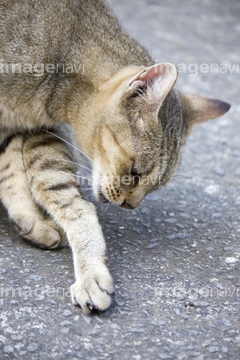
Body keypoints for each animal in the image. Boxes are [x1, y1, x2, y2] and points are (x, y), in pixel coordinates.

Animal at [0, 0, 231, 314]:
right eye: (135, 172)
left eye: (155, 186)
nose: (131, 206)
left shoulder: (28, 127)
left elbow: (22, 175)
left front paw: (32, 221)